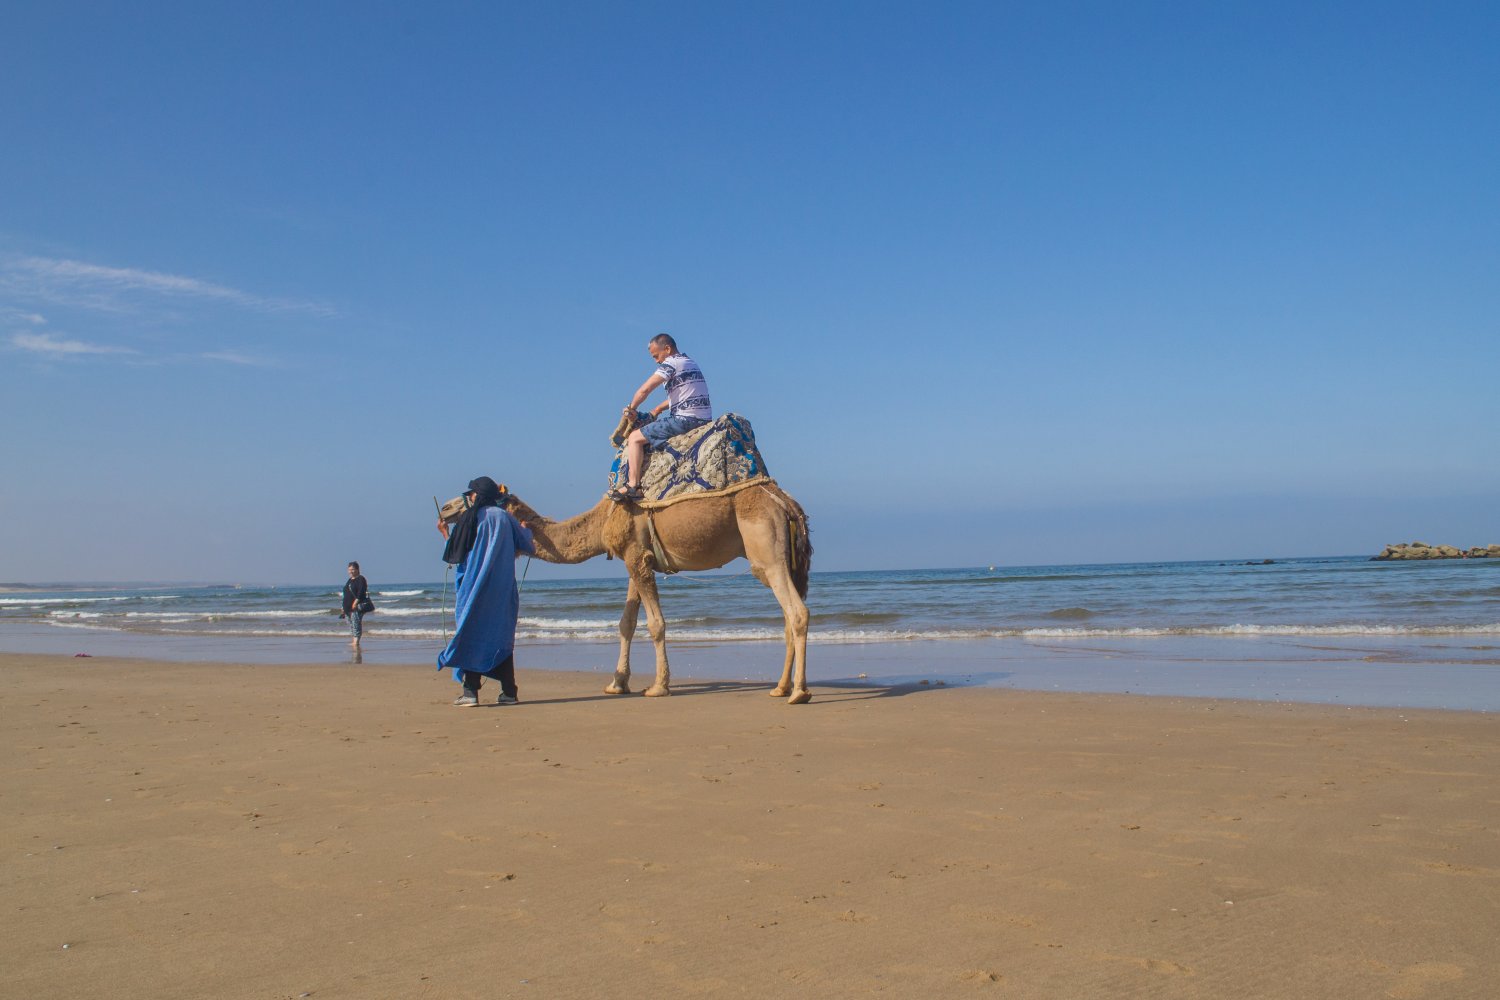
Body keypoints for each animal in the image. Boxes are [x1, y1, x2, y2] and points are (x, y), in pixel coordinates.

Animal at [501, 464, 810, 704]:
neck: (603, 520)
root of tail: (787, 503)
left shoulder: (636, 556)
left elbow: (655, 624)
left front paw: (659, 686)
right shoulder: (636, 559)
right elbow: (626, 623)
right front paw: (617, 683)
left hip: (766, 551)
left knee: (797, 612)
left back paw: (799, 692)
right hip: (786, 559)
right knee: (787, 617)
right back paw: (781, 687)